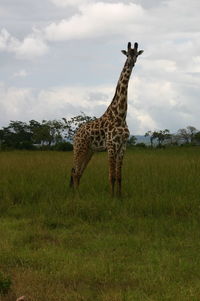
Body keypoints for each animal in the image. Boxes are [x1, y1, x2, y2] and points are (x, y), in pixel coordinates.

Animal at [69, 41, 143, 197]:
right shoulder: (111, 145)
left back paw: (78, 193)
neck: (120, 115)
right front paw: (111, 197)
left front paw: (119, 196)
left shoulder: (122, 146)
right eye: (127, 54)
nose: (131, 62)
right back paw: (77, 196)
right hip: (79, 148)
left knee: (79, 172)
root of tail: (76, 134)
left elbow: (119, 176)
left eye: (136, 54)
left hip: (89, 151)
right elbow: (111, 176)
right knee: (74, 172)